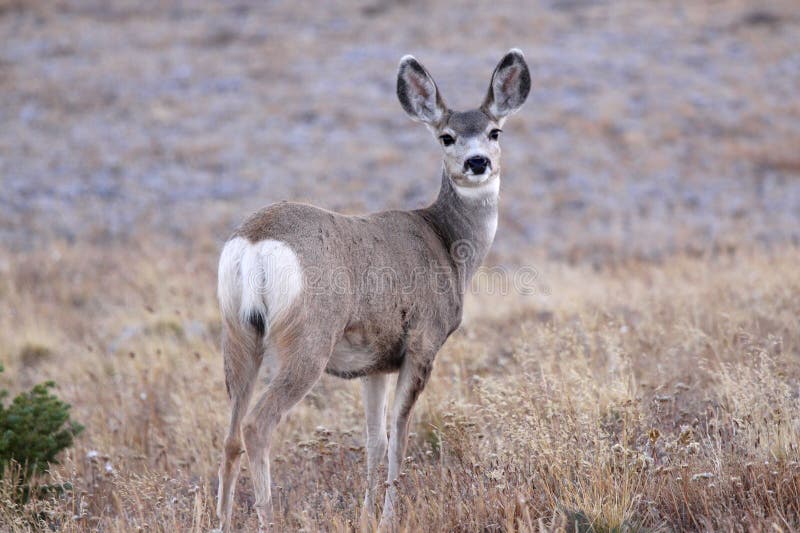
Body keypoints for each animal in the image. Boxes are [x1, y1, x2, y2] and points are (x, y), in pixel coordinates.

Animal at [215, 49, 531, 531]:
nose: (478, 162)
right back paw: (269, 519)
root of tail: (255, 241)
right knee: (257, 426)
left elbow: (375, 441)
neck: (446, 243)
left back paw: (220, 521)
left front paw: (366, 515)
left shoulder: (376, 363)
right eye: (446, 137)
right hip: (308, 339)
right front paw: (387, 517)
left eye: (495, 131)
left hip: (238, 334)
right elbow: (399, 437)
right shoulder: (422, 343)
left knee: (230, 433)